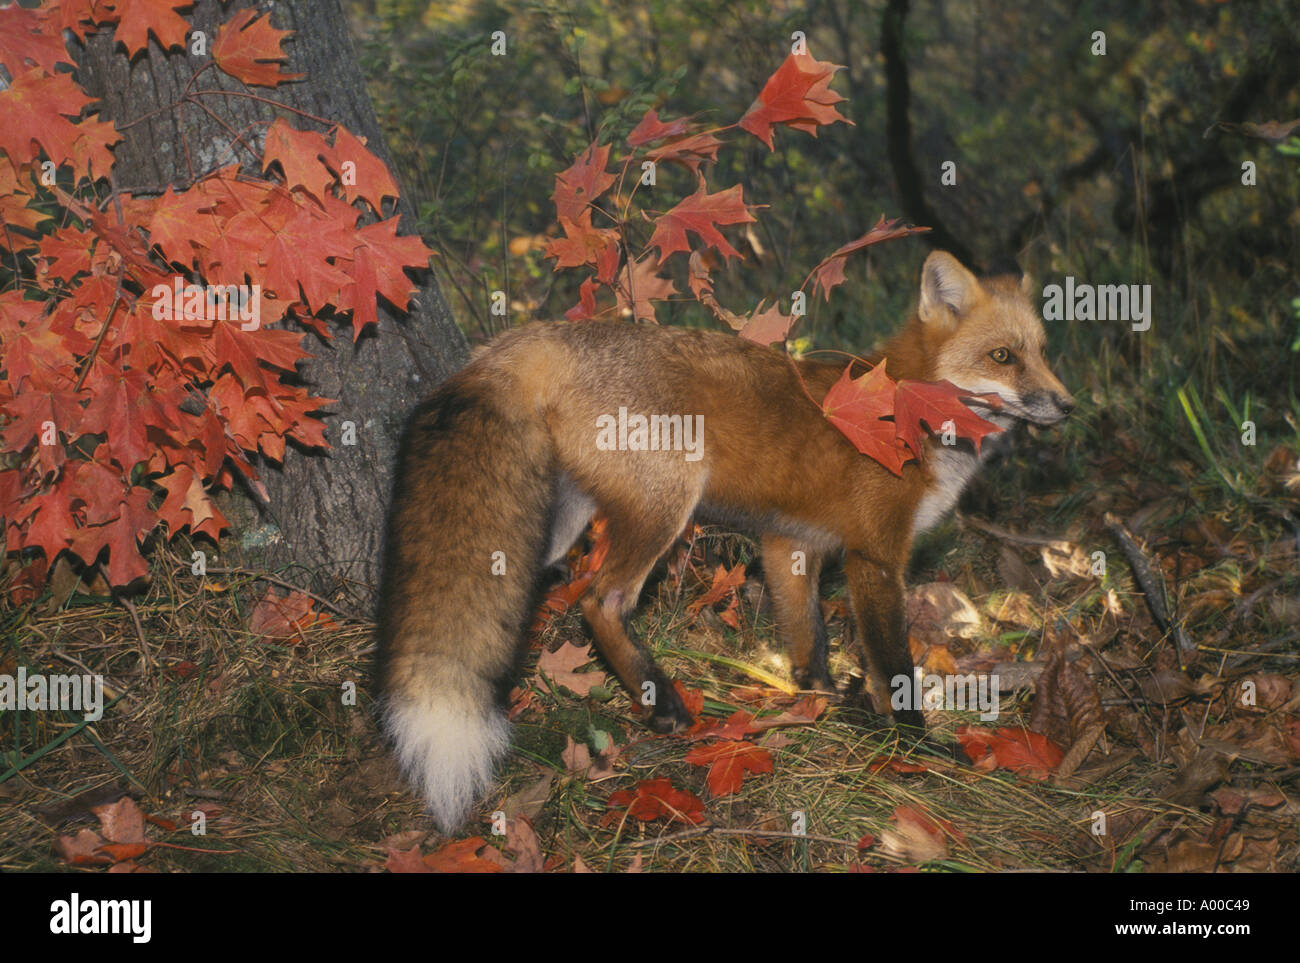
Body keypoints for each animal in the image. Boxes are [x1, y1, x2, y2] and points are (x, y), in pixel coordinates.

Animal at [377, 252, 1076, 831]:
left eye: (1046, 352)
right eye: (1003, 357)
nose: (1068, 407)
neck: (912, 414)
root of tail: (544, 337)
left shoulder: (789, 544)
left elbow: (808, 637)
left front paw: (822, 698)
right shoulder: (876, 556)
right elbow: (893, 663)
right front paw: (913, 743)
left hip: (559, 525)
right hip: (665, 505)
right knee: (600, 600)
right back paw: (664, 704)